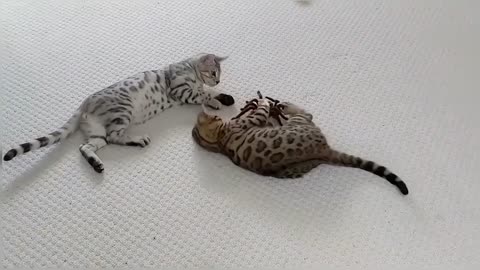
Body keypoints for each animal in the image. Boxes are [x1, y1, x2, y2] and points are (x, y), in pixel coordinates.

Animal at [191, 93, 408, 194]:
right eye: (216, 118)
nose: (218, 116)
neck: (219, 141)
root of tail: (324, 150)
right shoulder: (246, 121)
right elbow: (261, 109)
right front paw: (264, 102)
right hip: (300, 122)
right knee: (307, 114)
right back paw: (285, 105)